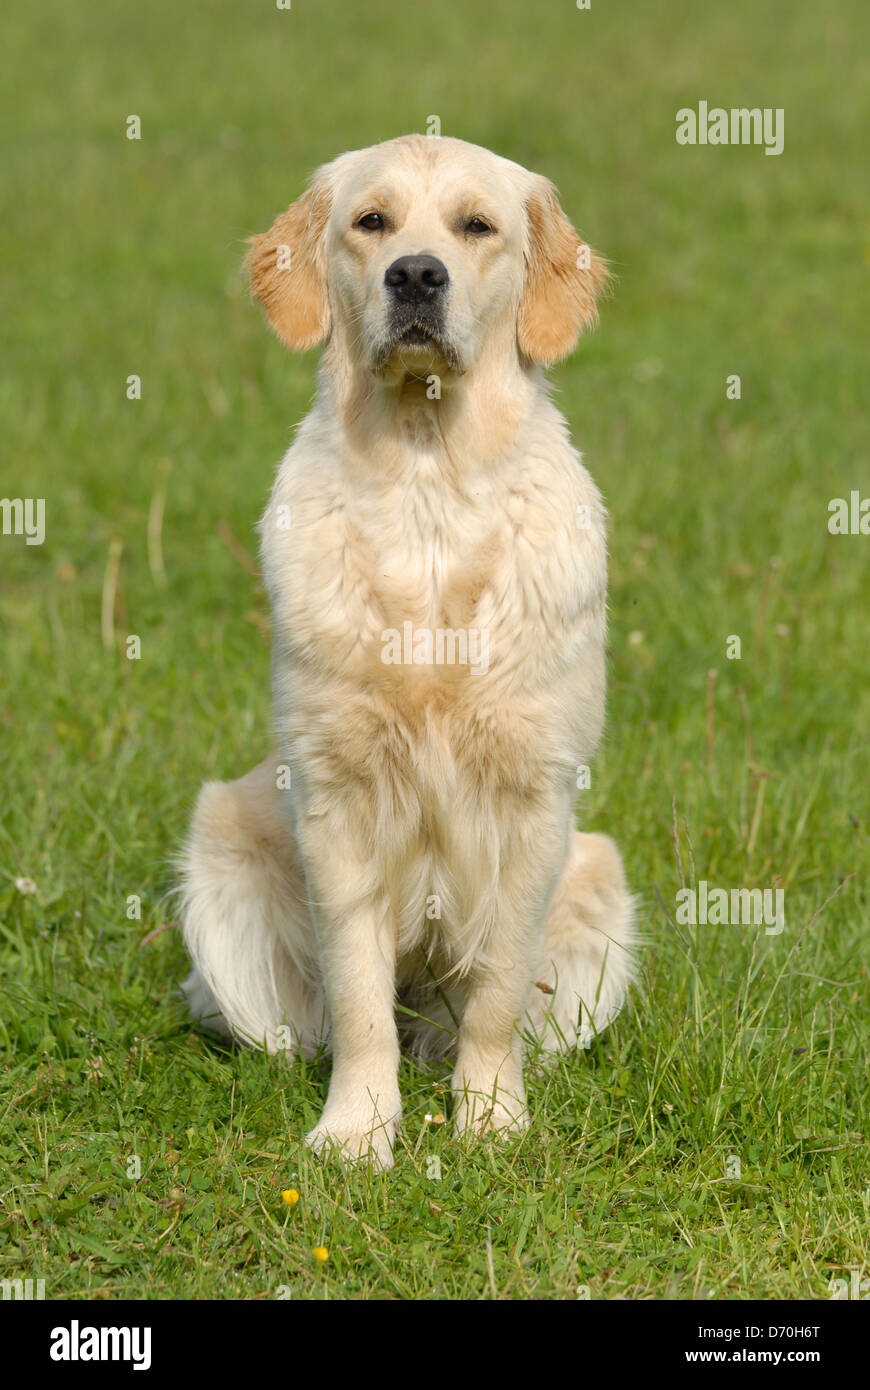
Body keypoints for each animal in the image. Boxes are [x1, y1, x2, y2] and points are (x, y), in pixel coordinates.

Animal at [180, 135, 630, 1167]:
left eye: (477, 225)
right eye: (371, 221)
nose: (417, 275)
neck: (428, 478)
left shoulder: (535, 799)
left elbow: (497, 988)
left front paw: (491, 1121)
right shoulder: (336, 801)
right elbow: (358, 997)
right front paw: (356, 1131)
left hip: (601, 884)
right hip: (220, 864)